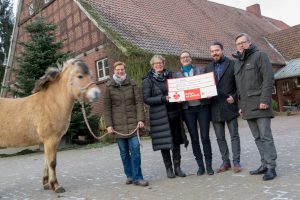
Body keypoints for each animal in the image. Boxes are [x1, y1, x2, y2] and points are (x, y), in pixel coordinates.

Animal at [0, 58, 101, 193]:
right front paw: (56, 186)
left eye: (91, 75)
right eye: (80, 76)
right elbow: (52, 162)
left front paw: (47, 184)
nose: (96, 93)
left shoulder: (49, 141)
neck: (51, 104)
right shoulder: (50, 140)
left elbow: (46, 162)